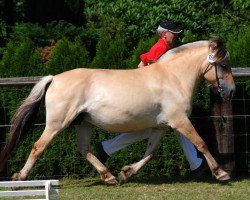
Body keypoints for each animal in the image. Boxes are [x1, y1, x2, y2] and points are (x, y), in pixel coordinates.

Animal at [0, 38, 234, 185]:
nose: (231, 91)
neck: (173, 77)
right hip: (58, 123)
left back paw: (109, 176)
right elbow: (201, 143)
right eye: (223, 65)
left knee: (84, 148)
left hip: (83, 122)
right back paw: (20, 177)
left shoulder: (161, 126)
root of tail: (54, 78)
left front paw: (126, 173)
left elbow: (150, 152)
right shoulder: (180, 121)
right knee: (38, 146)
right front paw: (220, 173)